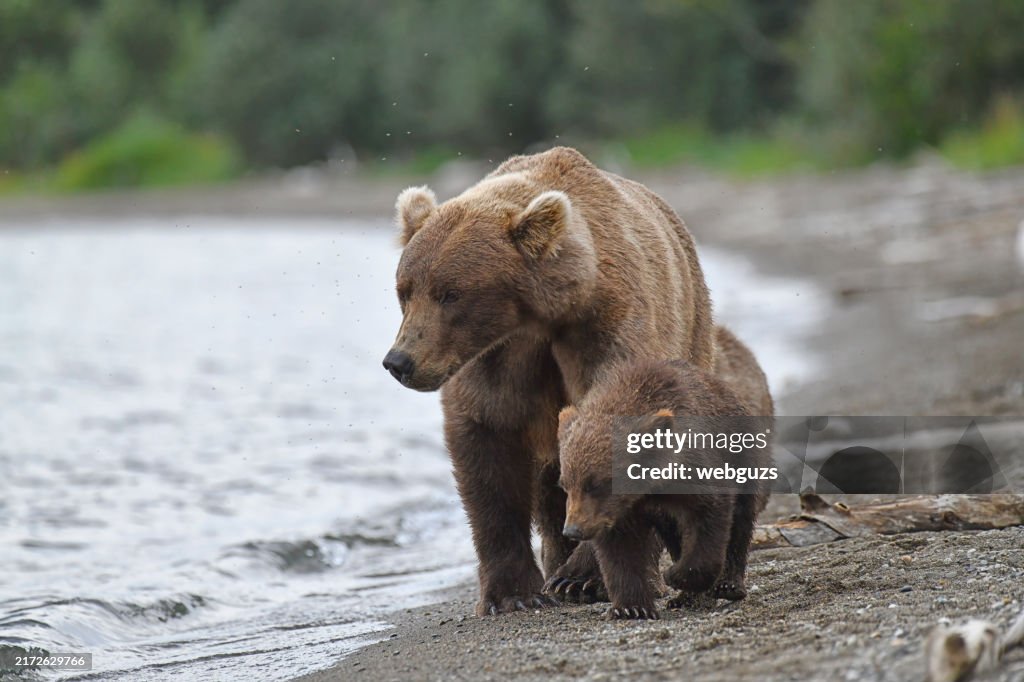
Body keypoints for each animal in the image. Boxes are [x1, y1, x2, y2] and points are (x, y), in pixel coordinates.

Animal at [383, 147, 715, 616]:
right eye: (404, 290)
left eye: (451, 293)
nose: (400, 361)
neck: (543, 315)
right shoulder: (497, 360)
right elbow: (488, 456)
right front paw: (512, 593)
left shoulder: (611, 327)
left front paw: (583, 577)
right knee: (546, 483)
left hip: (694, 328)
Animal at [543, 323, 773, 604]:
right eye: (565, 484)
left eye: (597, 484)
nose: (572, 530)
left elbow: (711, 516)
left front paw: (683, 576)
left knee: (741, 519)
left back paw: (728, 583)